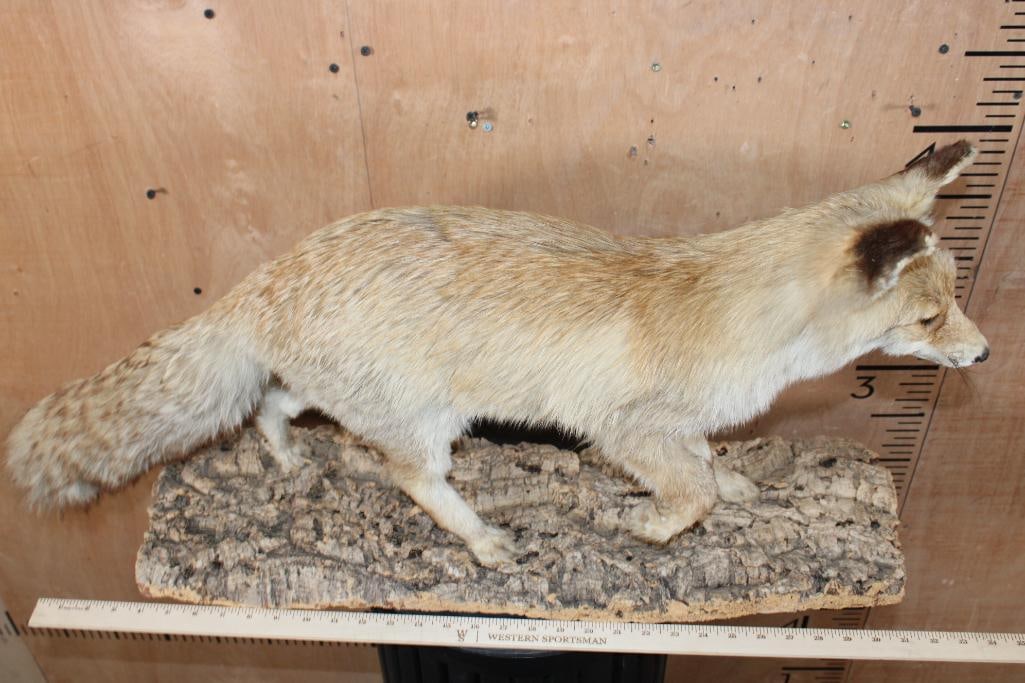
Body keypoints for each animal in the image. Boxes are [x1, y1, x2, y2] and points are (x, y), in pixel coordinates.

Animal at [6, 141, 988, 566]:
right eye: (931, 316)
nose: (982, 355)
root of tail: (274, 271)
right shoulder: (622, 429)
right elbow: (691, 495)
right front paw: (647, 529)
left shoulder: (674, 426)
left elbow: (712, 467)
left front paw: (740, 486)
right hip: (426, 422)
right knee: (411, 479)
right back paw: (481, 540)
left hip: (341, 392)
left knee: (270, 403)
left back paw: (285, 457)